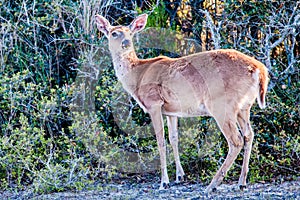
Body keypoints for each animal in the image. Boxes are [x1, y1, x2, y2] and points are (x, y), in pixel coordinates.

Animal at [95, 13, 268, 192]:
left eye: (130, 33)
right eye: (114, 33)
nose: (126, 43)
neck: (138, 76)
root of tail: (260, 70)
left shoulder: (153, 103)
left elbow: (160, 141)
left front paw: (164, 182)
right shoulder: (171, 110)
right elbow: (173, 138)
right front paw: (179, 176)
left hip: (222, 104)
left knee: (236, 140)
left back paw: (212, 184)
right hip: (244, 107)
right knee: (249, 134)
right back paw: (242, 182)